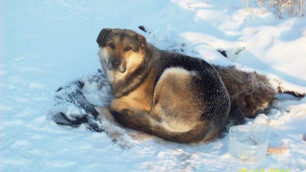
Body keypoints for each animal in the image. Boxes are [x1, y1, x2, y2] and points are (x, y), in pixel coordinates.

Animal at [95, 28, 296, 144]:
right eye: (111, 45)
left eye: (128, 49)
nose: (114, 63)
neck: (139, 65)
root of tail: (211, 120)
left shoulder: (144, 102)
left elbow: (115, 101)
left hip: (172, 74)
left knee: (153, 119)